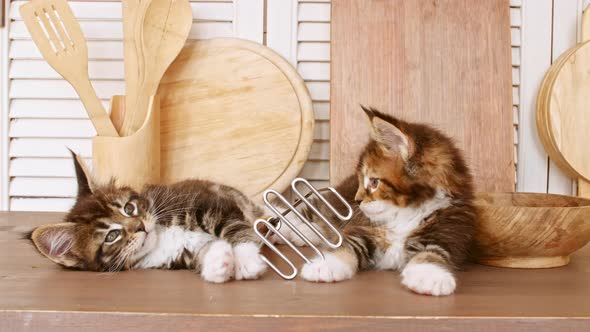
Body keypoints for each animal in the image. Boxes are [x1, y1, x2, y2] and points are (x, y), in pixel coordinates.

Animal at [26, 153, 268, 282]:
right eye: (111, 235)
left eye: (129, 208)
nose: (141, 226)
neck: (162, 238)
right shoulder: (179, 255)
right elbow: (203, 253)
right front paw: (219, 262)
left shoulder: (207, 201)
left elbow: (234, 226)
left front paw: (246, 258)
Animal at [280, 106, 478, 296]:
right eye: (362, 180)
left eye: (374, 182)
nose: (357, 200)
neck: (405, 214)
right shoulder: (363, 229)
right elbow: (348, 245)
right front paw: (325, 265)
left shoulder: (449, 232)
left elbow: (434, 253)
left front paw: (429, 276)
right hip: (335, 201)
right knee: (310, 210)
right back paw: (282, 227)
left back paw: (304, 232)